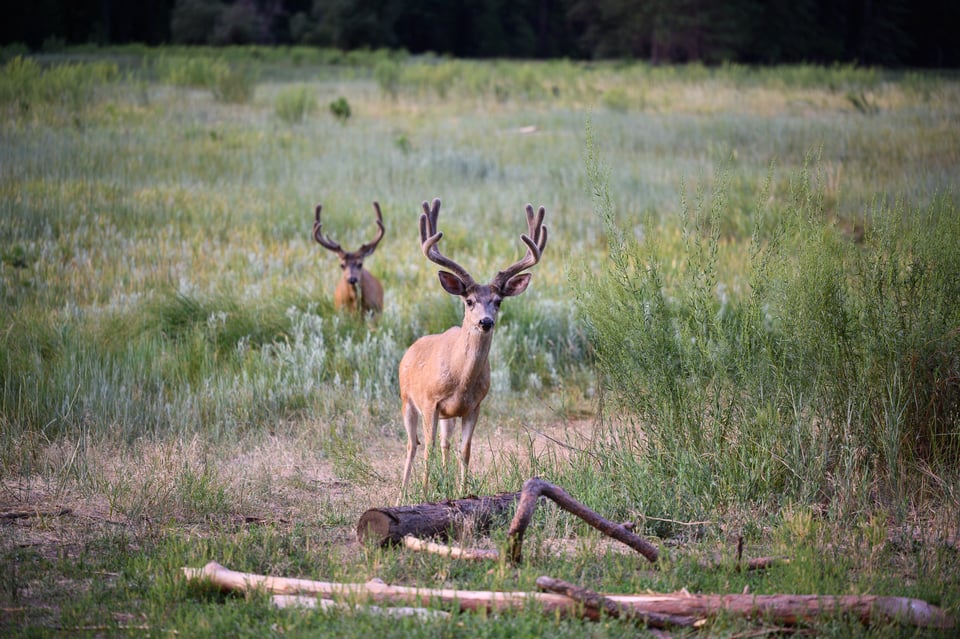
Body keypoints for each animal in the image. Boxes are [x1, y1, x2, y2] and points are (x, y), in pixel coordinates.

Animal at [398, 199, 548, 504]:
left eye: (498, 301)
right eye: (469, 301)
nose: (485, 322)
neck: (460, 378)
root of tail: (411, 349)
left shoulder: (474, 406)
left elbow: (465, 451)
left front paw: (462, 494)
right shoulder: (430, 401)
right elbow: (428, 449)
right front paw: (424, 495)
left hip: (447, 416)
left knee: (445, 444)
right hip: (406, 398)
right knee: (413, 445)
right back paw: (402, 496)